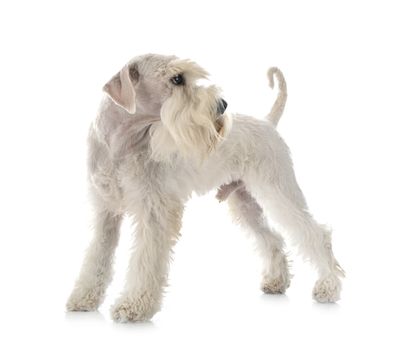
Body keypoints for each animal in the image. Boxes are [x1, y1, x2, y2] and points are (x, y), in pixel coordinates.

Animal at [67, 54, 344, 322]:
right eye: (177, 78)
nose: (222, 105)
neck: (120, 144)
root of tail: (267, 123)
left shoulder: (154, 212)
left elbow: (145, 262)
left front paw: (133, 307)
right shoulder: (106, 211)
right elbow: (97, 257)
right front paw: (83, 298)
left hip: (279, 191)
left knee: (316, 234)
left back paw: (328, 287)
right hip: (246, 203)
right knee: (273, 238)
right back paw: (276, 281)